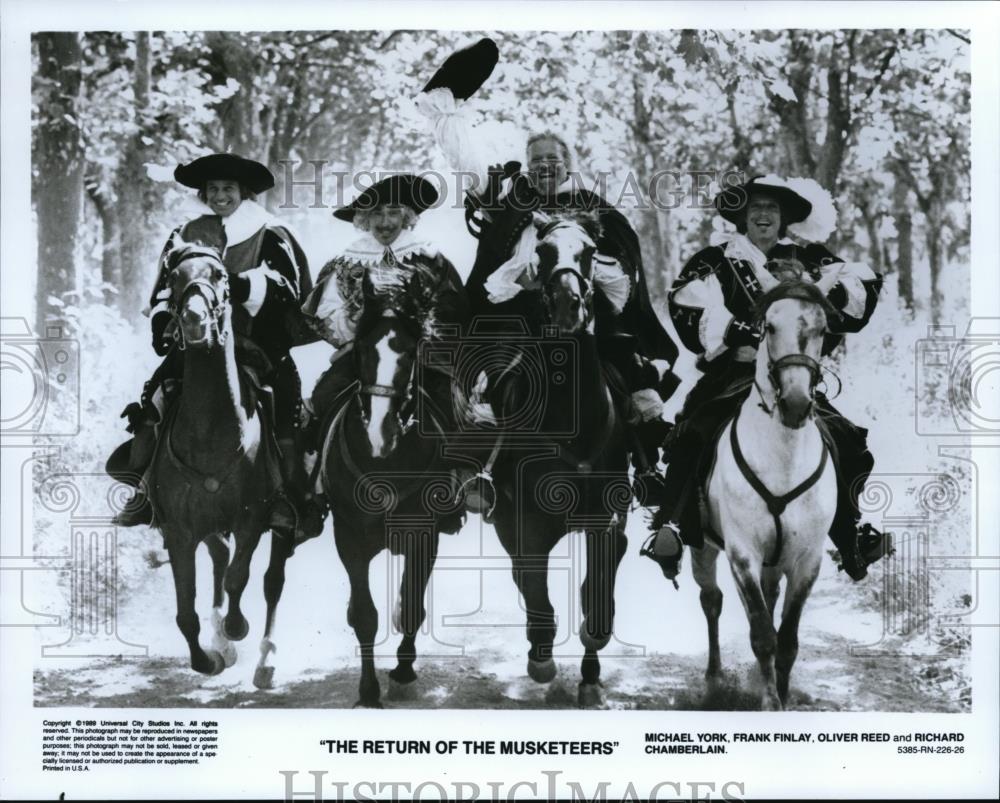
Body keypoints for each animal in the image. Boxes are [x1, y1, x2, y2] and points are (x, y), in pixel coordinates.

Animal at [146, 242, 296, 688]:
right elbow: (186, 612)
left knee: (271, 581)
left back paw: (265, 659)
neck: (211, 432)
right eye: (174, 278)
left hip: (281, 524)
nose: (194, 320)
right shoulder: (179, 532)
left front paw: (235, 628)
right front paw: (210, 657)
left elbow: (238, 576)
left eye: (219, 276)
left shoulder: (252, 517)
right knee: (218, 555)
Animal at [486, 215, 632, 708]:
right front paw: (542, 658)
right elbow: (536, 589)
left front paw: (592, 659)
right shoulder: (526, 522)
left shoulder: (604, 519)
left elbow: (597, 595)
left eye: (588, 251)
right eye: (544, 251)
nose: (570, 305)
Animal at [692, 282, 840, 708]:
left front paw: (782, 694)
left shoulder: (807, 560)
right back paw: (714, 678)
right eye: (769, 327)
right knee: (712, 600)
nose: (795, 404)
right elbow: (763, 636)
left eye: (823, 330)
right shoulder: (743, 555)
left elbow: (787, 639)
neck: (782, 458)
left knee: (768, 598)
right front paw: (771, 702)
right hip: (703, 548)